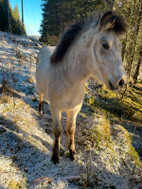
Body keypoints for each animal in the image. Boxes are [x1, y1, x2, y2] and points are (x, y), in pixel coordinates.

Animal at [35, 11, 127, 164]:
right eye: (105, 45)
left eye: (120, 47)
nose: (122, 81)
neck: (68, 80)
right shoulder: (55, 109)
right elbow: (57, 131)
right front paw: (55, 156)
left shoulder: (74, 110)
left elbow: (71, 130)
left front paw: (72, 153)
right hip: (40, 89)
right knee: (41, 96)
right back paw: (40, 110)